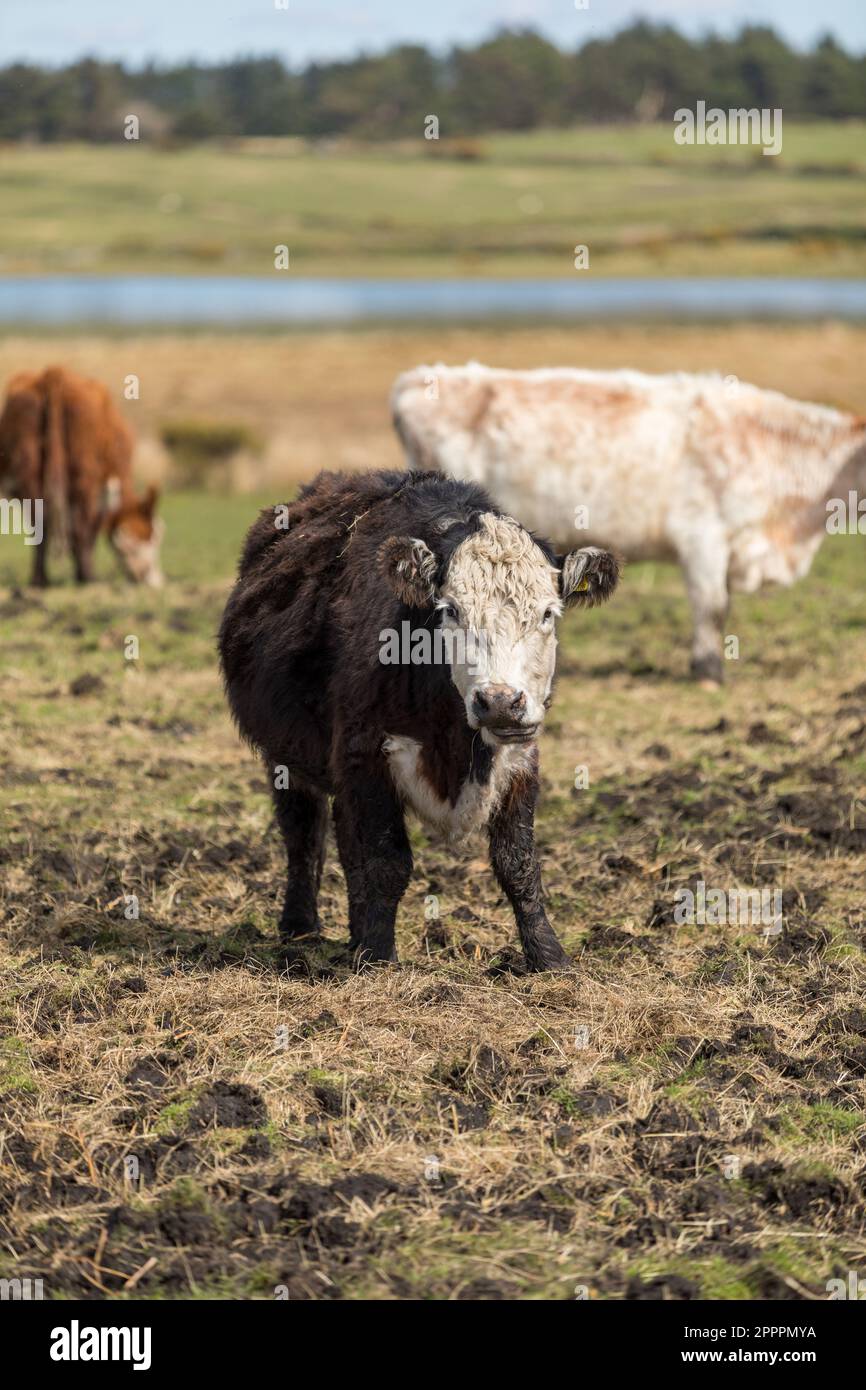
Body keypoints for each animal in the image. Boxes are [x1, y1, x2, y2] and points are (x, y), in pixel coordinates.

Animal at [0, 364, 164, 586]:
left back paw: (40, 579)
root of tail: (54, 373)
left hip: (30, 470)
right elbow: (91, 525)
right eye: (152, 537)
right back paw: (88, 576)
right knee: (78, 525)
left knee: (40, 521)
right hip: (84, 474)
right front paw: (82, 573)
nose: (155, 580)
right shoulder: (104, 484)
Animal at [219, 472, 619, 973]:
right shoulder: (367, 751)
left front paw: (548, 956)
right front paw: (377, 955)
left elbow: (518, 863)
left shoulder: (521, 757)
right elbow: (386, 861)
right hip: (286, 757)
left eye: (548, 612)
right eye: (450, 610)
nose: (499, 702)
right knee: (304, 832)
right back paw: (301, 926)